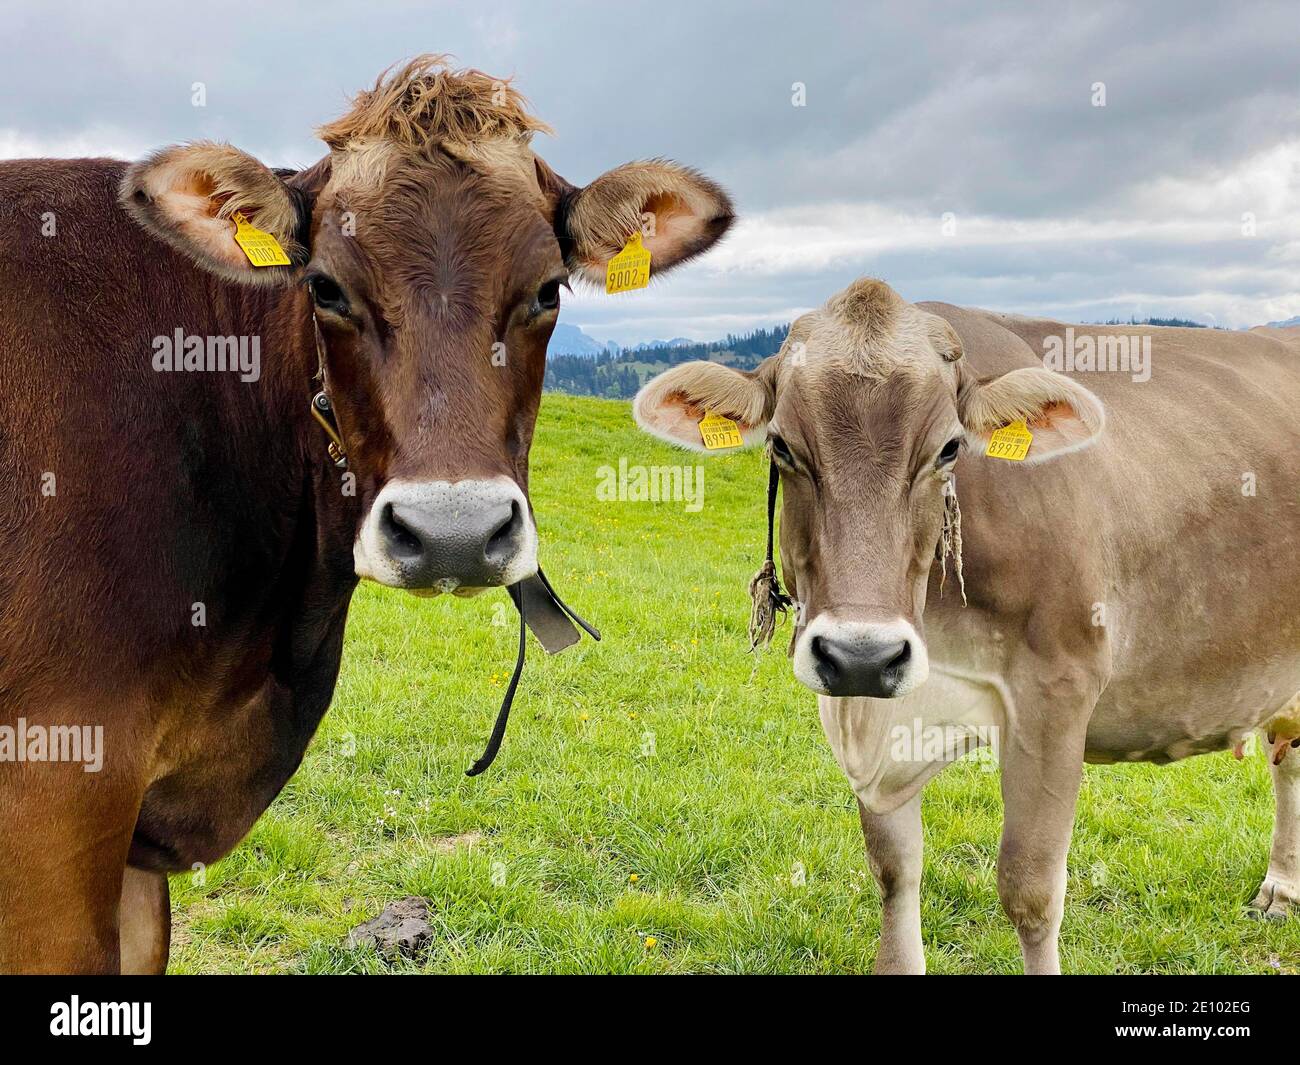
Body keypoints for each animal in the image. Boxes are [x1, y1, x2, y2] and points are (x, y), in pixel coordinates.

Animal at [637, 276, 1300, 972]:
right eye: (782, 446)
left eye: (949, 449)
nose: (862, 655)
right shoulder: (871, 712)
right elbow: (894, 870)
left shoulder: (1059, 688)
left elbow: (1030, 890)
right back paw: (1281, 888)